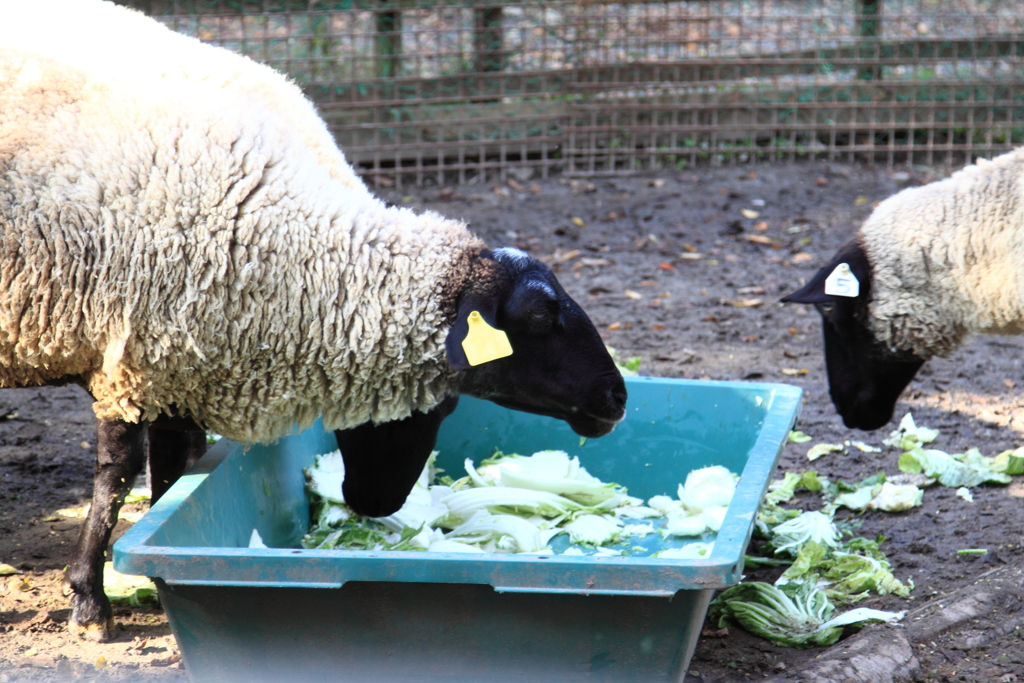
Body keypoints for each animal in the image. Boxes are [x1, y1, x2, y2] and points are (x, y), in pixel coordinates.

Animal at [0, 0, 626, 643]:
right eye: (541, 314)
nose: (616, 396)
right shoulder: (127, 359)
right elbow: (116, 474)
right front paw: (90, 600)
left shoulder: (173, 362)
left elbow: (173, 468)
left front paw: (151, 566)